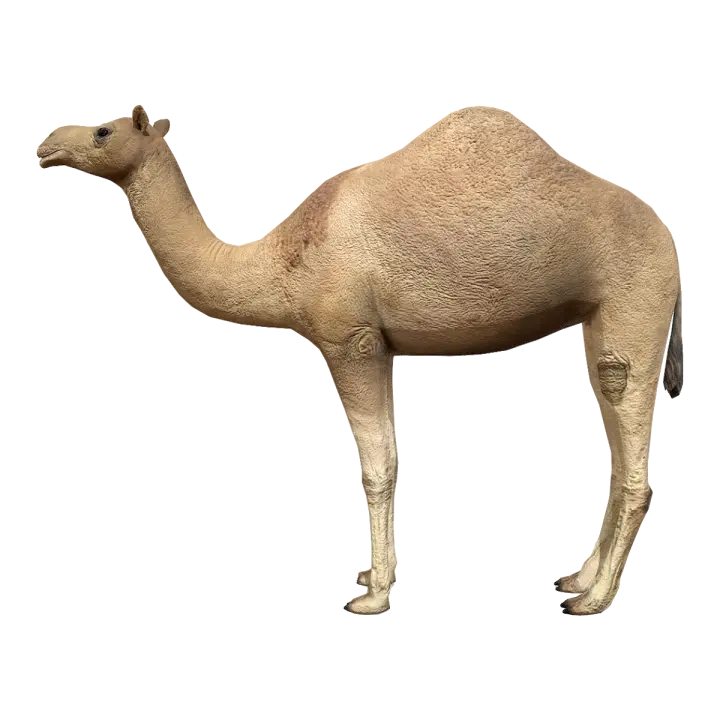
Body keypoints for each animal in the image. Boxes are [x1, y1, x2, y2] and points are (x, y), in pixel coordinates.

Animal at [36, 104, 683, 616]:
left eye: (101, 130)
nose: (44, 148)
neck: (284, 258)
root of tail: (671, 241)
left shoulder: (352, 338)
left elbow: (377, 466)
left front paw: (372, 594)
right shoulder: (375, 342)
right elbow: (383, 457)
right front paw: (377, 578)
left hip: (636, 297)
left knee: (630, 440)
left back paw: (594, 598)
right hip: (597, 316)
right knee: (614, 437)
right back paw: (573, 584)